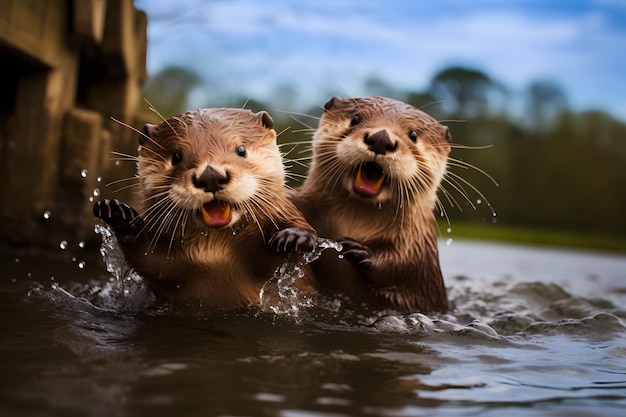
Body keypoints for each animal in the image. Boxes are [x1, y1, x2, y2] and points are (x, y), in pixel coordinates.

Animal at [94, 107, 316, 308]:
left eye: (241, 150)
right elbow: (149, 260)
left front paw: (294, 236)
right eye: (176, 156)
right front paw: (118, 213)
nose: (210, 176)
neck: (216, 257)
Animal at [292, 96, 448, 312]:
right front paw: (297, 233)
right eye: (356, 118)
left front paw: (360, 251)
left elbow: (403, 265)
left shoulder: (416, 244)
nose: (381, 138)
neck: (354, 222)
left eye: (414, 134)